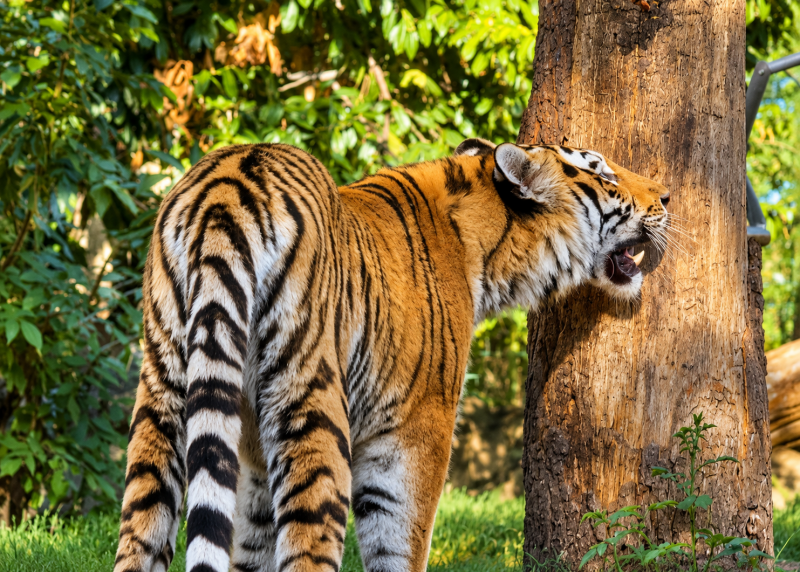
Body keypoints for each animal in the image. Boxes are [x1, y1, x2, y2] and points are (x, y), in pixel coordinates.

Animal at [113, 138, 669, 572]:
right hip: (310, 400)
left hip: (163, 392)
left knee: (139, 535)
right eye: (601, 171)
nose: (666, 194)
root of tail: (227, 188)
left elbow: (251, 549)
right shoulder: (414, 430)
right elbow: (399, 545)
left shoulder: (250, 458)